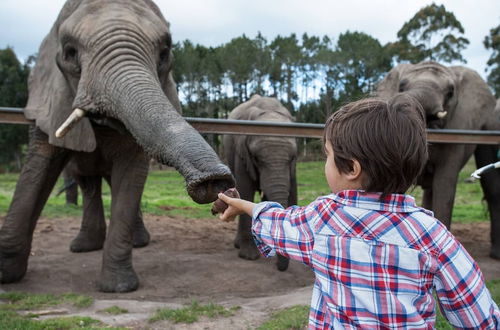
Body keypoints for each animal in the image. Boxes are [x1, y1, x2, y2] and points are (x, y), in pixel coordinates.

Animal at [0, 0, 234, 294]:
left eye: (164, 53)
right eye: (70, 52)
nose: (215, 181)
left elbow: (131, 176)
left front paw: (118, 288)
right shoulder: (49, 103)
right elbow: (37, 170)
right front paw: (6, 276)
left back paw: (135, 242)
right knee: (88, 183)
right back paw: (83, 247)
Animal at [223, 94, 296, 270]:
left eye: (292, 158)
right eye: (257, 159)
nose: (280, 267)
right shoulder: (241, 151)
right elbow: (245, 190)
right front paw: (249, 256)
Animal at [376, 60, 500, 260]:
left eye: (450, 92)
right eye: (401, 85)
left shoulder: (458, 127)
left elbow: (445, 182)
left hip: (487, 128)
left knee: (491, 186)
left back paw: (495, 255)